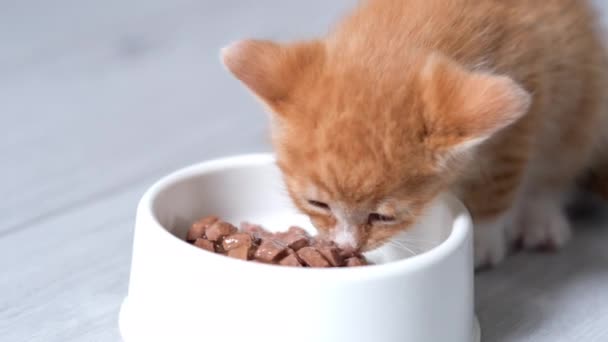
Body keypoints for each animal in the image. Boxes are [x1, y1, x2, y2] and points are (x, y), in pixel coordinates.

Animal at [222, 0, 608, 268]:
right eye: (318, 203)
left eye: (383, 217)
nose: (346, 247)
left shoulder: (523, 116)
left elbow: (496, 185)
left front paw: (481, 241)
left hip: (580, 105)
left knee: (556, 167)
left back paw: (541, 219)